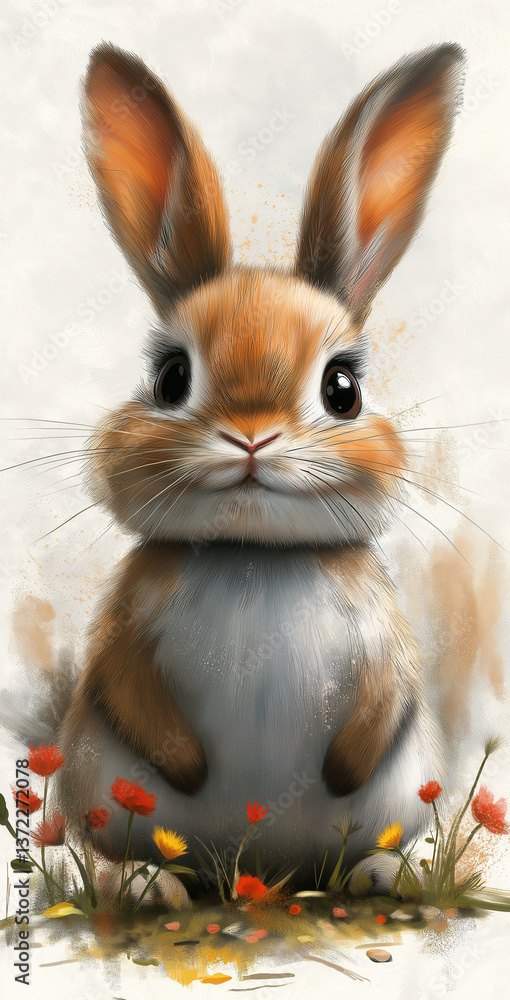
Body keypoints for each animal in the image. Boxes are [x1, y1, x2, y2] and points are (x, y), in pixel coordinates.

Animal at [57, 41, 465, 894]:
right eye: (170, 378)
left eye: (343, 388)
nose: (252, 439)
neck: (255, 553)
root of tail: (259, 874)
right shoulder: (126, 630)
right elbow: (126, 685)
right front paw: (187, 765)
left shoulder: (386, 643)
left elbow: (385, 699)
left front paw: (340, 771)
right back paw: (152, 886)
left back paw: (380, 876)